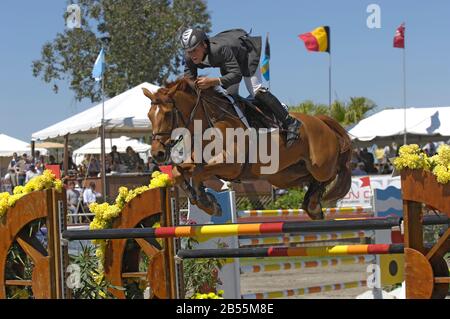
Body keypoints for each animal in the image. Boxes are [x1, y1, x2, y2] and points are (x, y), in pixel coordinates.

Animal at [143, 79, 352, 221]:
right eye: (149, 115)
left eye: (168, 114)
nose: (157, 154)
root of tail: (321, 120)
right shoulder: (196, 162)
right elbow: (179, 172)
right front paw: (204, 200)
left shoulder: (231, 165)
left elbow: (198, 172)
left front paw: (208, 203)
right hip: (283, 175)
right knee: (309, 179)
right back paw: (312, 204)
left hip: (321, 166)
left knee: (332, 172)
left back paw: (314, 205)